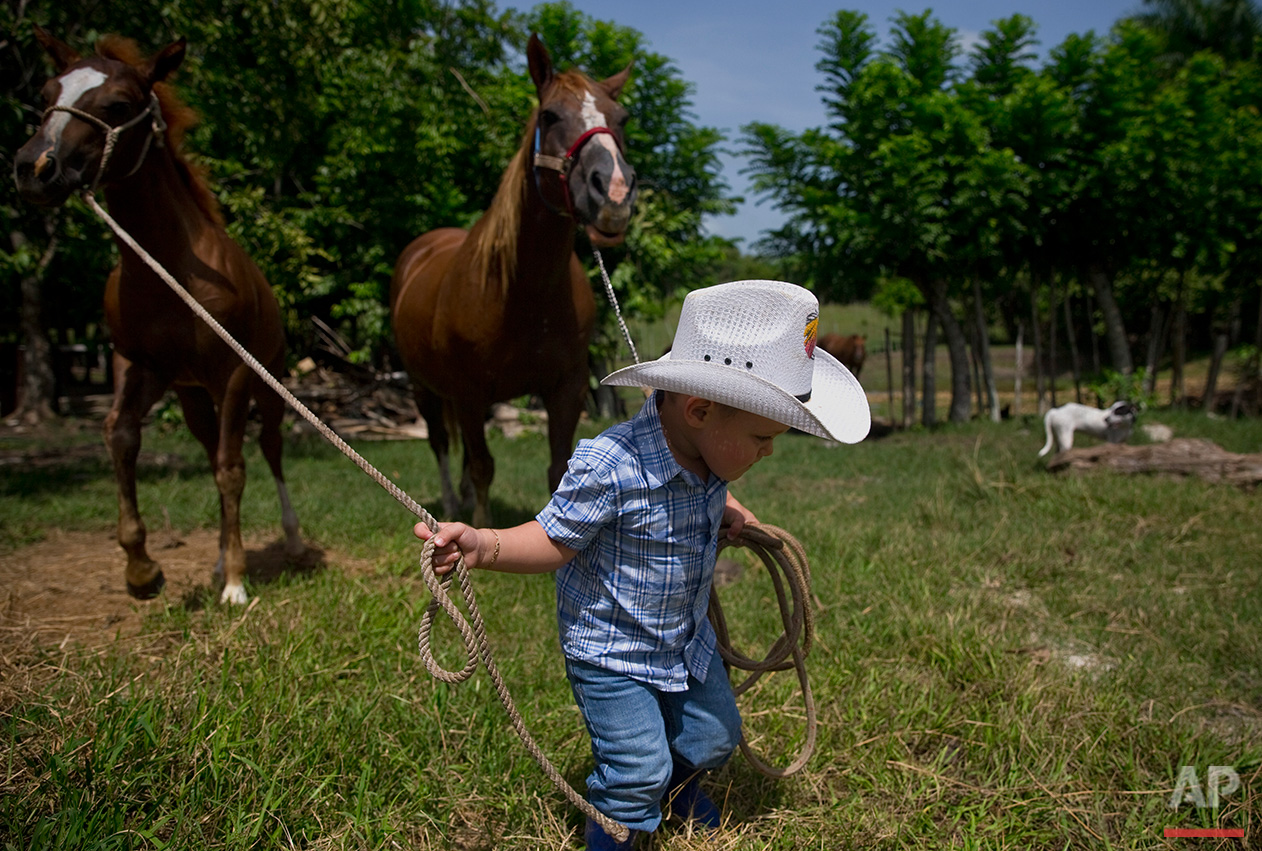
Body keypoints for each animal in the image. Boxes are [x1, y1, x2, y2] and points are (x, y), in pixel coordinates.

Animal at [12, 29, 302, 601]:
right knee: (211, 449)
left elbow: (233, 469)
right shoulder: (138, 366)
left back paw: (291, 538)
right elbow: (121, 435)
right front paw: (142, 567)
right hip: (191, 396)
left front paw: (236, 583)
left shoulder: (233, 373)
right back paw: (217, 556)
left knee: (268, 448)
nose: (35, 167)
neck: (168, 268)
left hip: (267, 383)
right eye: (47, 93)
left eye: (119, 105)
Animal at [388, 34, 636, 522]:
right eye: (550, 115)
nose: (614, 192)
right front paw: (479, 525)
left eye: (620, 118)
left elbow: (557, 467)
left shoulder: (566, 389)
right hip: (425, 388)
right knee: (441, 444)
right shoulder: (468, 391)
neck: (522, 293)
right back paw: (453, 501)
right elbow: (483, 465)